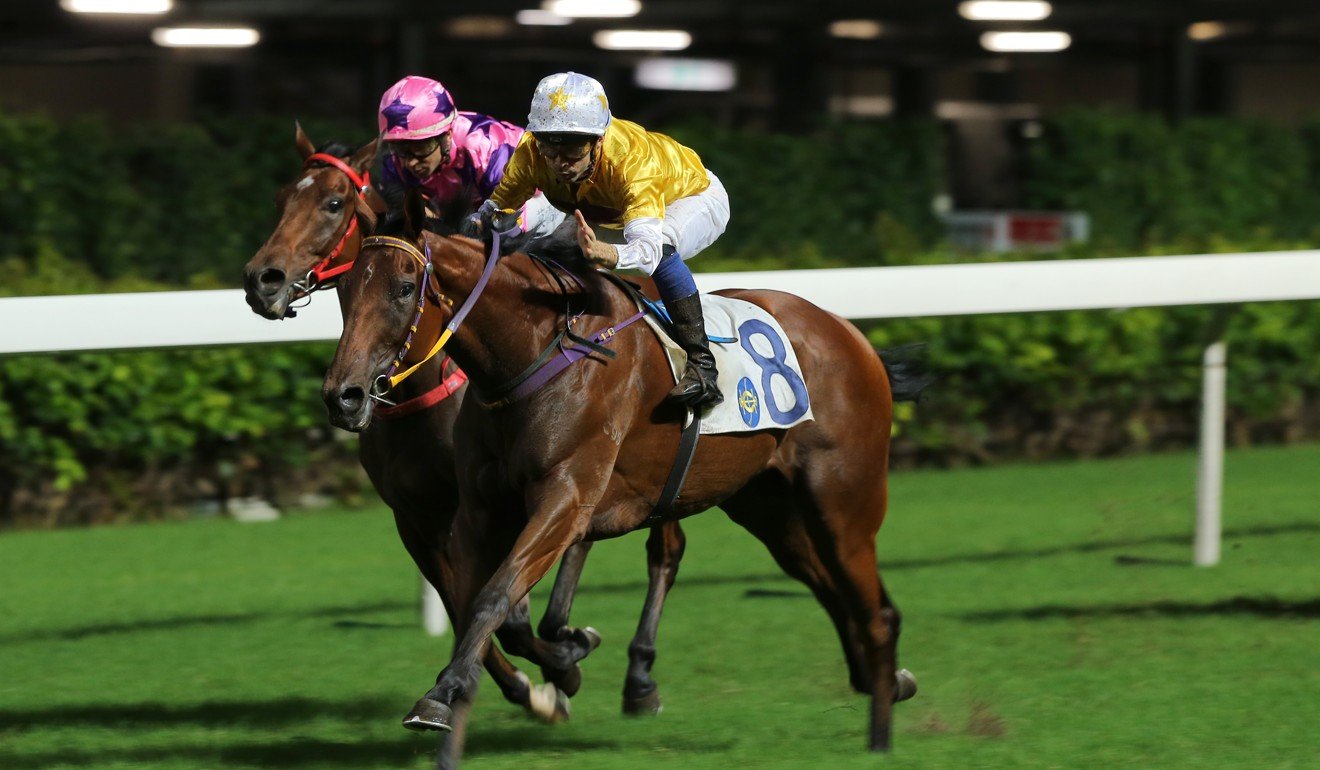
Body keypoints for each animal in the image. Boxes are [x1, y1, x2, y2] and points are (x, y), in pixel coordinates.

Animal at [320, 192, 918, 755]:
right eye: (344, 290)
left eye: (403, 288)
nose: (343, 396)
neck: (533, 350)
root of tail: (853, 336)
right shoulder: (472, 511)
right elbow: (482, 607)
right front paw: (548, 668)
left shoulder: (565, 498)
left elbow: (496, 597)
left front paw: (456, 691)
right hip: (769, 507)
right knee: (831, 586)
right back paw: (884, 682)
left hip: (843, 501)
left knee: (874, 610)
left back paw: (880, 734)